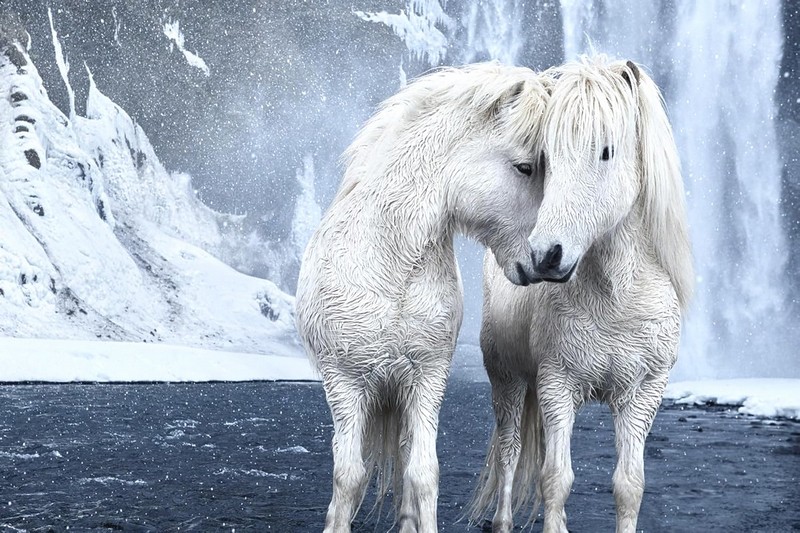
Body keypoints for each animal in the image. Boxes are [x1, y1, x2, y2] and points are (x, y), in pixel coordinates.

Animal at [295, 63, 552, 533]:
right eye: (525, 167)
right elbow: (348, 476)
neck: (389, 265)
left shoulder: (427, 379)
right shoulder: (344, 384)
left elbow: (422, 473)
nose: (546, 259)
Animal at [468, 56, 693, 533]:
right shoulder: (557, 386)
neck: (617, 300)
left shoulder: (642, 396)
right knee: (510, 453)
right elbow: (556, 479)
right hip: (508, 382)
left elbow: (629, 486)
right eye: (547, 157)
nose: (545, 254)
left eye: (606, 150)